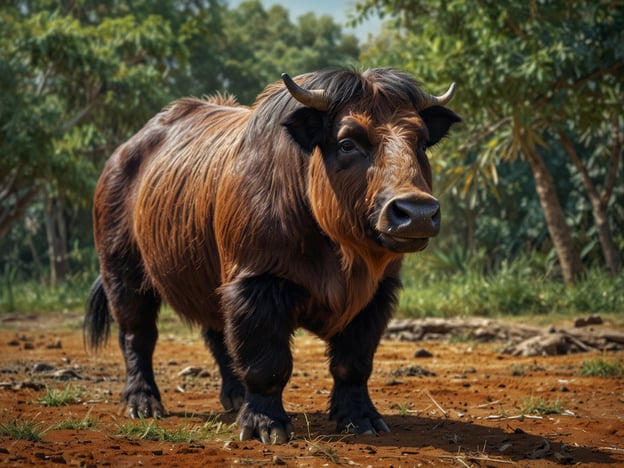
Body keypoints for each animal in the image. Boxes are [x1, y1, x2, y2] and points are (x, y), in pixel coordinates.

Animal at [85, 68, 460, 442]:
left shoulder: (377, 294)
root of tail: (120, 156)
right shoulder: (256, 282)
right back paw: (143, 402)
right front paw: (266, 423)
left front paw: (360, 417)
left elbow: (354, 363)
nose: (417, 212)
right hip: (123, 272)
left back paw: (235, 396)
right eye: (347, 143)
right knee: (138, 334)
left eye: (420, 142)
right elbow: (267, 362)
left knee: (218, 335)